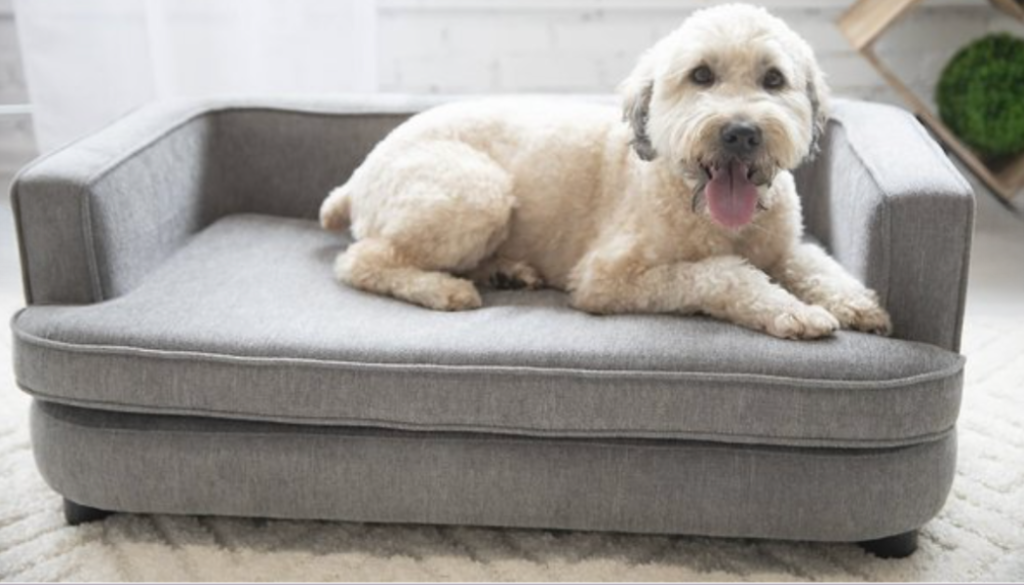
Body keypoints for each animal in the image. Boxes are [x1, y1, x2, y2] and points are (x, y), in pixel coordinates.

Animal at [319, 3, 888, 338]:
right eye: (701, 75)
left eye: (773, 80)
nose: (742, 133)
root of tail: (358, 175)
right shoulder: (607, 278)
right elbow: (721, 274)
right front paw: (791, 310)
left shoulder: (784, 246)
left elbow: (815, 264)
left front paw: (855, 302)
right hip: (476, 193)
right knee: (361, 260)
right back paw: (443, 289)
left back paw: (505, 270)